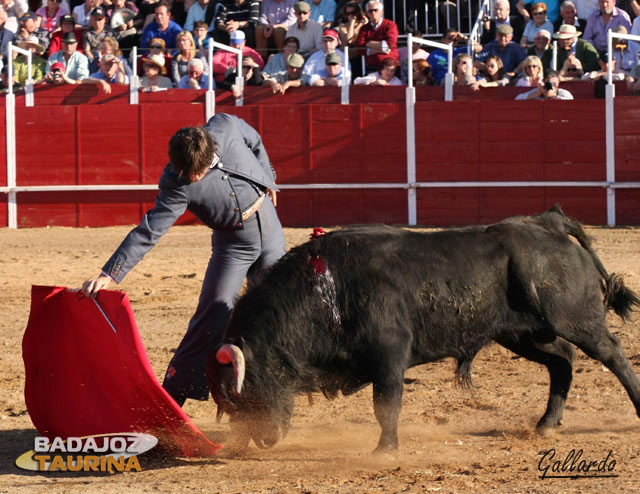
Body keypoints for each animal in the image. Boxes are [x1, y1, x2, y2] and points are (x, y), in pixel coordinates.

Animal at [206, 207, 640, 452]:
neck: (325, 289)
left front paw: (384, 451)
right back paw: (546, 425)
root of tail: (547, 222)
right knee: (562, 359)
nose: (264, 439)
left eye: (249, 390)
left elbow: (386, 406)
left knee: (613, 352)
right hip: (522, 334)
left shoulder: (389, 357)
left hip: (575, 319)